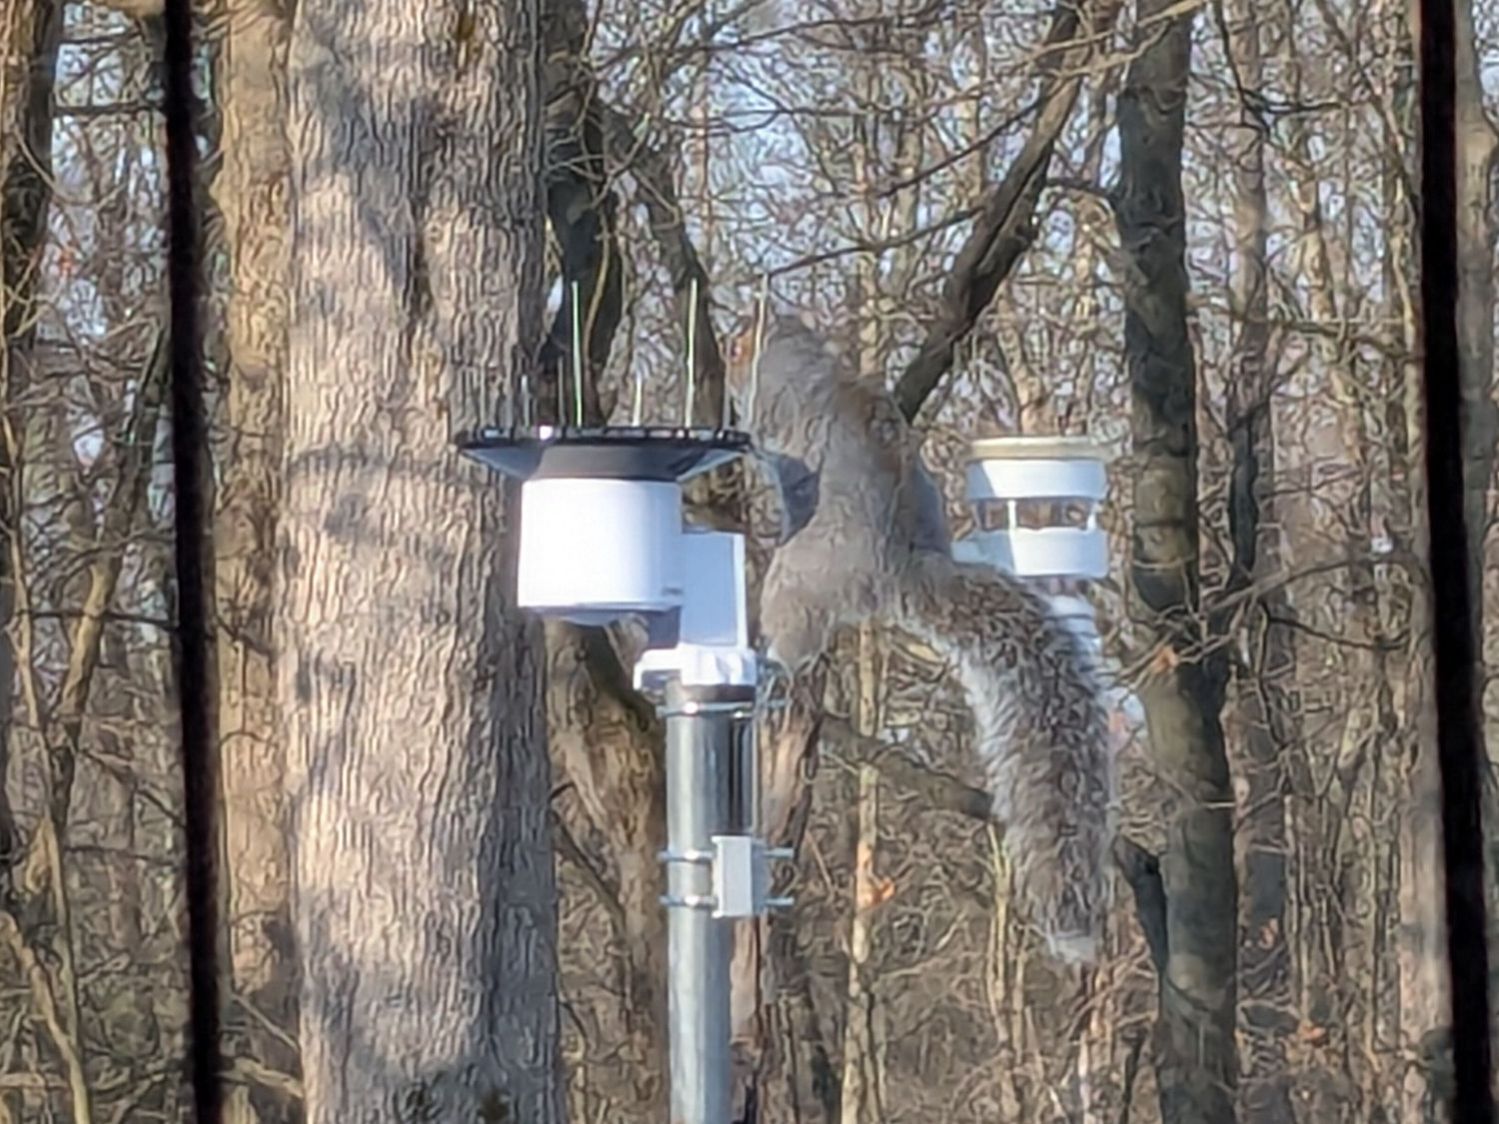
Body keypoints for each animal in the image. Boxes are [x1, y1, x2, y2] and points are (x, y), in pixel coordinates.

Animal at [724, 312, 1114, 965]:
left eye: (736, 348)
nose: (730, 352)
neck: (795, 351)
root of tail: (900, 568)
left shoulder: (776, 402)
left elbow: (762, 428)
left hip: (794, 578)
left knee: (796, 636)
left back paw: (772, 658)